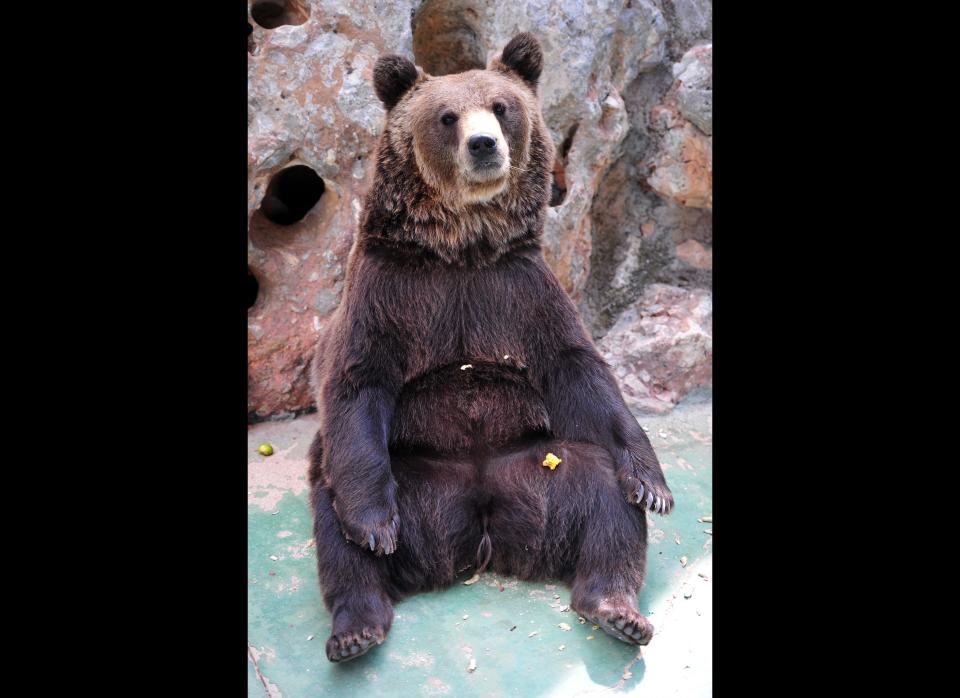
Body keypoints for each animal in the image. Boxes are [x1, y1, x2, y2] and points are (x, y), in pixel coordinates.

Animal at [308, 34, 676, 664]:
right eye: (447, 116)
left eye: (502, 107)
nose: (484, 144)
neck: (462, 248)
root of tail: (481, 526)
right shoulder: (392, 291)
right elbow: (358, 380)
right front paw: (373, 526)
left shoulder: (516, 289)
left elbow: (579, 370)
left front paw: (654, 484)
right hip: (418, 481)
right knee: (331, 511)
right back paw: (357, 625)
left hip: (540, 473)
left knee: (603, 496)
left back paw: (617, 608)